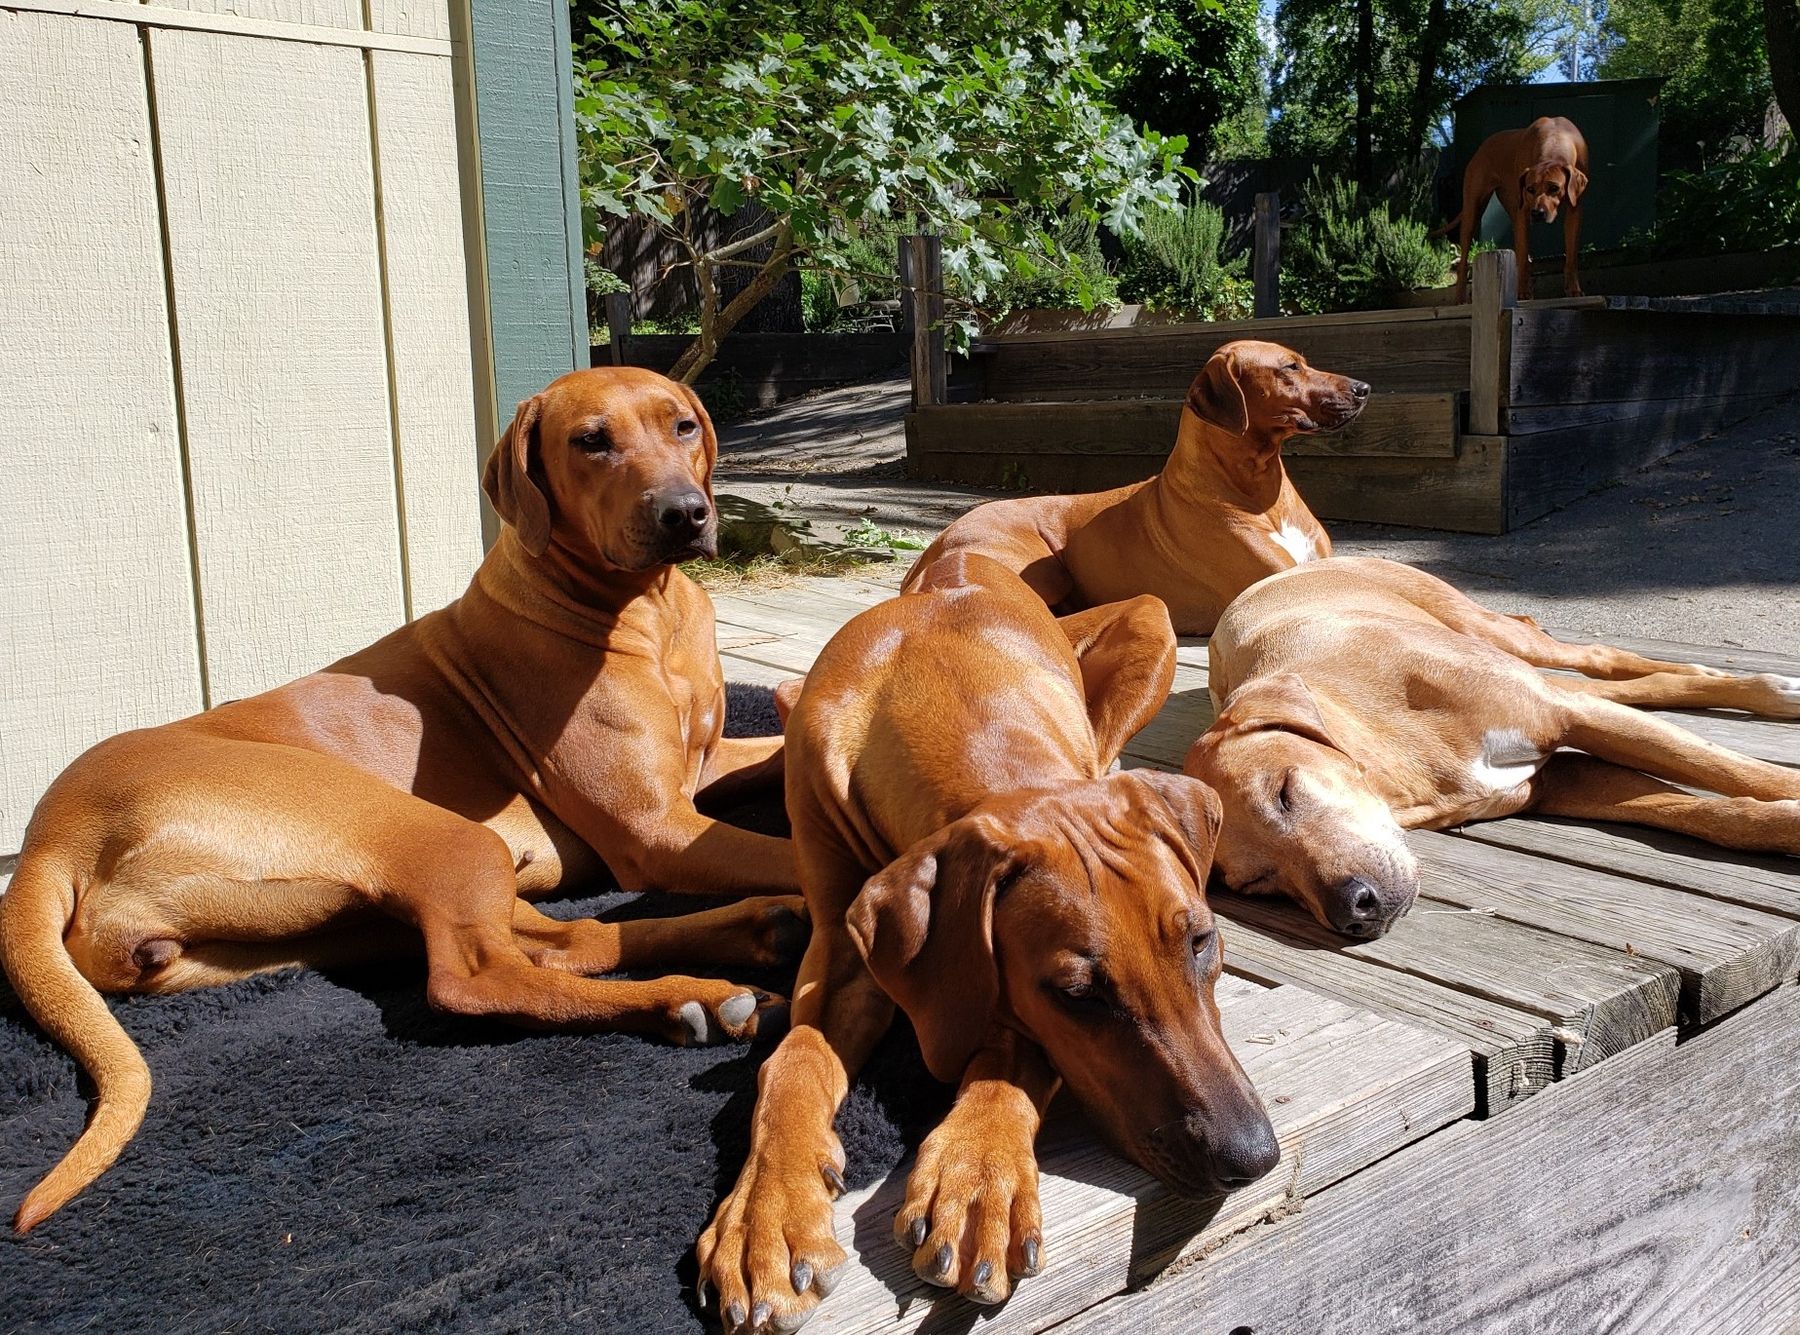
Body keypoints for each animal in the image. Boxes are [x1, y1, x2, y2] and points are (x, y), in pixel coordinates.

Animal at [0, 363, 802, 1230]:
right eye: (592, 440)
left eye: (682, 425)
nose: (684, 512)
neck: (650, 608)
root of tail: (50, 832)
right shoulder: (658, 828)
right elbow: (786, 847)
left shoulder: (706, 767)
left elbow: (780, 756)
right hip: (428, 832)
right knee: (479, 977)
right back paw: (688, 995)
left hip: (335, 919)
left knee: (567, 941)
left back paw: (752, 935)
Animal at [694, 554, 1274, 1335]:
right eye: (1076, 994)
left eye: (1204, 942)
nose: (1252, 1156)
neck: (947, 686)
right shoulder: (841, 946)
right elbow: (795, 1058)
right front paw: (766, 1214)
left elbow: (1010, 1039)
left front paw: (978, 1179)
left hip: (1150, 620)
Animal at [907, 341, 1368, 640]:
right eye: (1290, 368)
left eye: (1303, 362)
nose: (1363, 388)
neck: (1259, 487)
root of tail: (932, 548)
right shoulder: (1278, 579)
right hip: (1038, 567)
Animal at [1180, 557, 1800, 949]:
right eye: (1259, 883)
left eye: (1285, 793)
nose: (1355, 910)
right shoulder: (1559, 783)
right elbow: (1708, 812)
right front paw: (1778, 826)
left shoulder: (1565, 716)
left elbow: (1729, 769)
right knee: (1625, 686)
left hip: (1489, 630)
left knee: (1592, 657)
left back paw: (1764, 690)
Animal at [1440, 116, 1598, 304]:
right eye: (1530, 189)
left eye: (1554, 188)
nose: (1537, 213)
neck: (1556, 138)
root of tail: (1482, 146)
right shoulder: (1523, 210)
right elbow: (1522, 258)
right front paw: (1522, 293)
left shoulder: (1575, 209)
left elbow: (1572, 256)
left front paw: (1574, 289)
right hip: (1473, 207)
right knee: (1464, 258)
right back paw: (1460, 297)